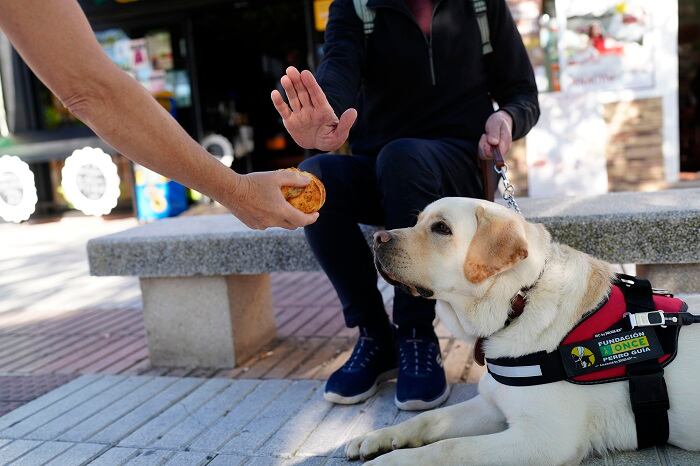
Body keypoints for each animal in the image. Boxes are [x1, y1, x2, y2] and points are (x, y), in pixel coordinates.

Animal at [346, 198, 700, 466]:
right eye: (417, 221)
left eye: (441, 228)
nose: (378, 239)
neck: (517, 302)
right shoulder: (492, 405)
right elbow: (429, 419)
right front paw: (375, 438)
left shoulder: (542, 439)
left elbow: (449, 448)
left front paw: (389, 462)